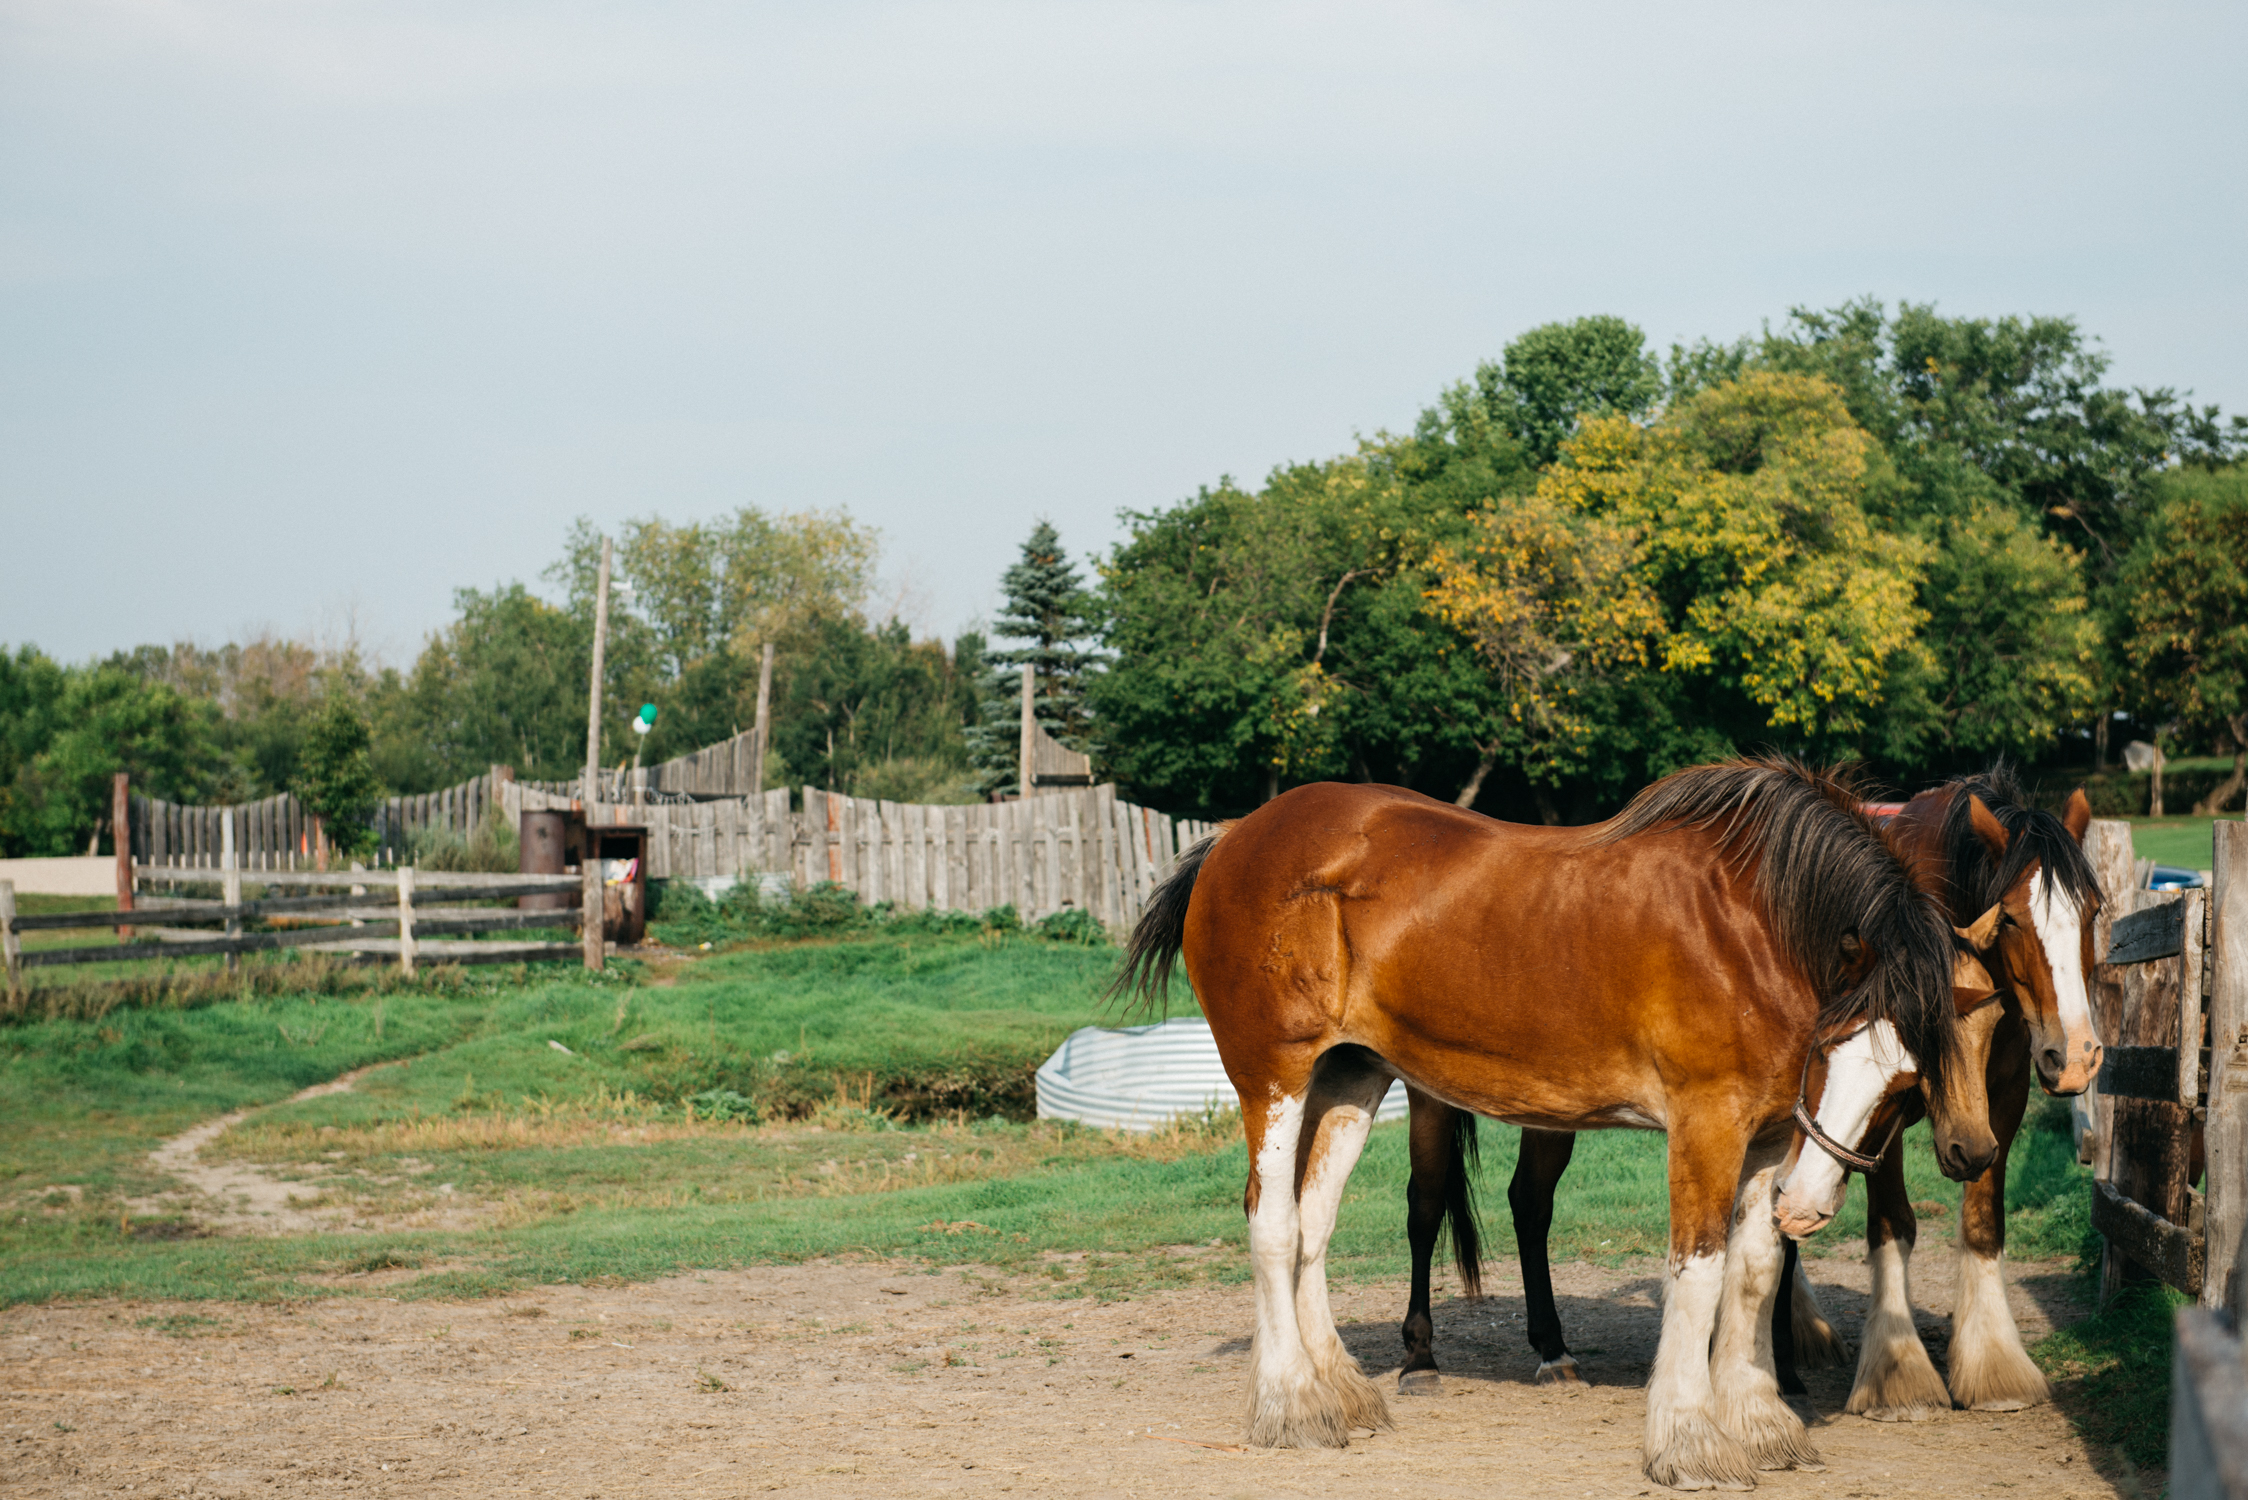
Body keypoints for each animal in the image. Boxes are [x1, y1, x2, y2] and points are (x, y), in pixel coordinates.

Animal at [1115, 764, 1996, 1493]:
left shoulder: (1770, 1139)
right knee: (1272, 1223)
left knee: (1312, 1225)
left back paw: (1339, 1391)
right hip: (1277, 1076)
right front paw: (1689, 1443)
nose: (1810, 1204)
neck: (1750, 924)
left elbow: (1753, 1272)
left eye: (1904, 1082)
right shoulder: (1707, 1122)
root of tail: (1233, 841)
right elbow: (1700, 1274)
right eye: (1832, 1046)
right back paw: (1293, 1404)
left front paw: (1761, 1425)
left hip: (1350, 1078)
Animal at [1420, 773, 2104, 1421]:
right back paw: (1437, 1356)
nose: (2073, 1056)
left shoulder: (1995, 1103)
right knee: (1451, 1203)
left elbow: (1981, 1223)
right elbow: (1887, 1226)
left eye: (2094, 911)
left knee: (1533, 1201)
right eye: (2011, 916)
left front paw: (1995, 1370)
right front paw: (1896, 1375)